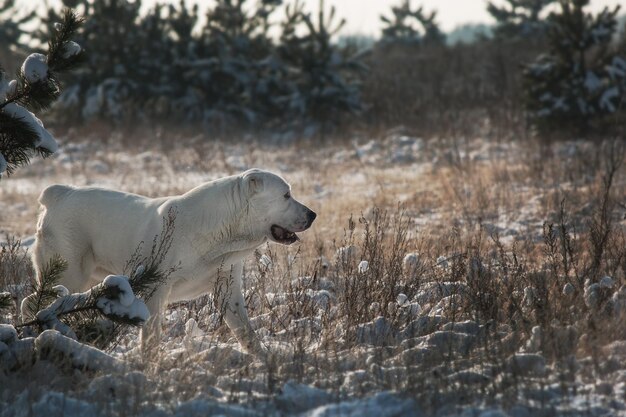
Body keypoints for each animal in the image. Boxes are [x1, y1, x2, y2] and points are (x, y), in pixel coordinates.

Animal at [31, 167, 314, 352]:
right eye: (286, 195)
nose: (313, 214)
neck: (222, 229)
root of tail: (58, 193)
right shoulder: (156, 290)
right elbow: (151, 337)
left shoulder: (227, 287)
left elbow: (247, 333)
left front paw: (265, 363)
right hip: (69, 271)